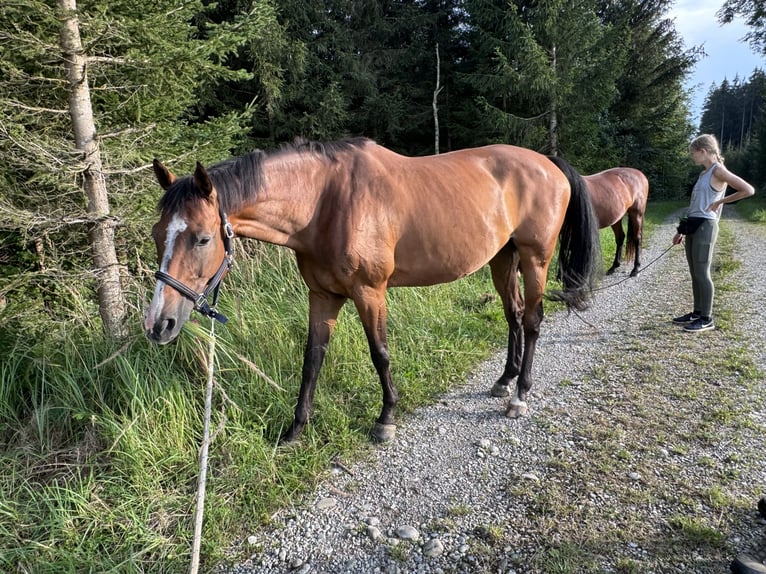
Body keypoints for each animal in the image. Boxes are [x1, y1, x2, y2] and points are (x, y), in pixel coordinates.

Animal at [142, 140, 600, 446]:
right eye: (157, 234)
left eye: (202, 239)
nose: (158, 324)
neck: (325, 202)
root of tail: (547, 163)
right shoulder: (321, 296)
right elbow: (312, 359)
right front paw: (296, 429)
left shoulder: (370, 292)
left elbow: (380, 353)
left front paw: (386, 419)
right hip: (503, 258)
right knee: (513, 314)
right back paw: (505, 380)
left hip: (535, 259)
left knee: (533, 319)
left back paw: (520, 394)